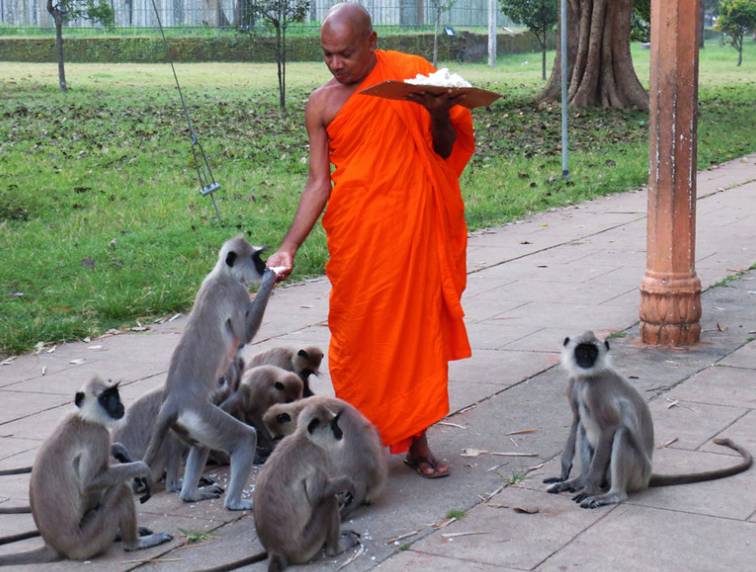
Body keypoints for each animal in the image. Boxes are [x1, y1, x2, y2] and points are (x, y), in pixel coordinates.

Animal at [0, 378, 172, 566]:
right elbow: (89, 482)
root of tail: (54, 545)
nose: (118, 404)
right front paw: (141, 468)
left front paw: (119, 450)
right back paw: (134, 543)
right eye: (105, 398)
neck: (83, 417)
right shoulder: (97, 433)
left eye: (114, 394)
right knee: (121, 490)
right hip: (86, 541)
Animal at [142, 236, 278, 511]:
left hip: (193, 425)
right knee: (244, 437)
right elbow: (245, 334)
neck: (222, 274)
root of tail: (174, 399)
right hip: (202, 415)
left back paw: (190, 495)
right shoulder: (236, 293)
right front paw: (269, 280)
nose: (263, 265)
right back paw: (234, 502)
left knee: (200, 446)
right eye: (256, 257)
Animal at [198, 402, 360, 572]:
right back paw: (336, 548)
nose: (341, 431)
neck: (304, 438)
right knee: (328, 502)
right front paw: (347, 484)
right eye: (334, 424)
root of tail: (276, 550)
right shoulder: (316, 455)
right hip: (305, 545)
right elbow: (317, 494)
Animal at [544, 331, 753, 509]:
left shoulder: (595, 391)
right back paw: (578, 480)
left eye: (592, 352)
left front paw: (589, 489)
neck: (587, 378)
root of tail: (648, 475)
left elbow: (610, 428)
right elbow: (576, 419)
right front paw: (566, 472)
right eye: (581, 351)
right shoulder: (573, 384)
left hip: (637, 472)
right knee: (583, 428)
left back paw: (612, 494)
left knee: (622, 434)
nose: (586, 359)